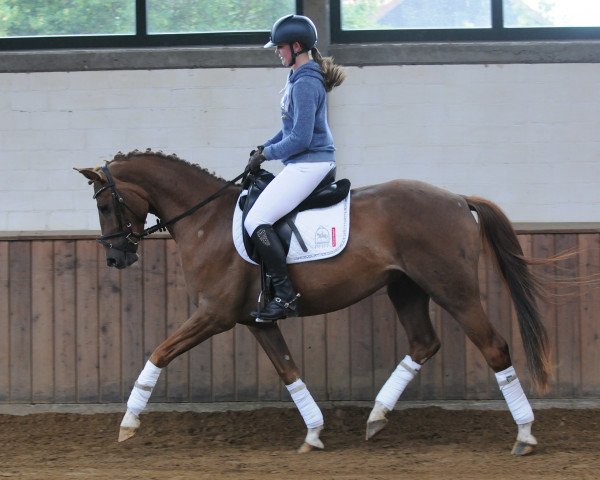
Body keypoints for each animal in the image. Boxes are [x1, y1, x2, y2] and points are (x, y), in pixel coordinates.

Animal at [77, 149, 552, 454]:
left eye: (104, 204)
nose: (117, 258)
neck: (204, 220)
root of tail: (456, 199)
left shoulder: (214, 314)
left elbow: (159, 352)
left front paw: (128, 423)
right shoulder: (257, 320)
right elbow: (289, 371)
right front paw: (313, 433)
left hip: (453, 290)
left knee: (494, 348)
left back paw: (526, 435)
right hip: (405, 288)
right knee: (423, 344)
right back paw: (377, 417)